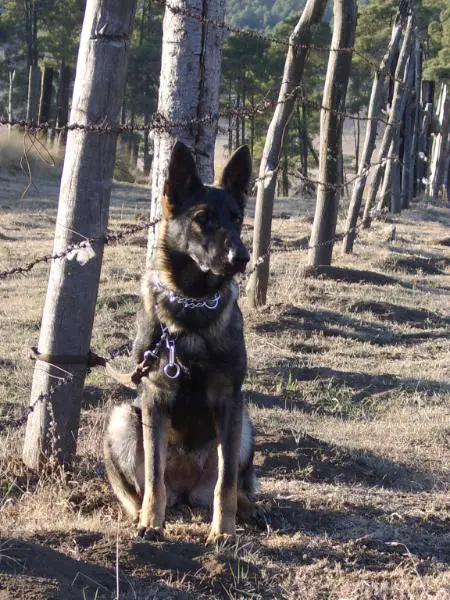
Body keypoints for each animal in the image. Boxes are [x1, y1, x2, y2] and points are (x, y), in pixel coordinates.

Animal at [103, 142, 255, 544]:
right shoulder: (155, 400)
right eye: (202, 218)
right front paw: (151, 524)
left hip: (245, 424)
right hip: (123, 419)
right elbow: (154, 477)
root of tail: (186, 491)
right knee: (138, 490)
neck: (192, 307)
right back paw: (139, 514)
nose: (241, 258)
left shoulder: (230, 401)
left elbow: (226, 483)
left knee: (231, 481)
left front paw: (223, 531)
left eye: (237, 218)